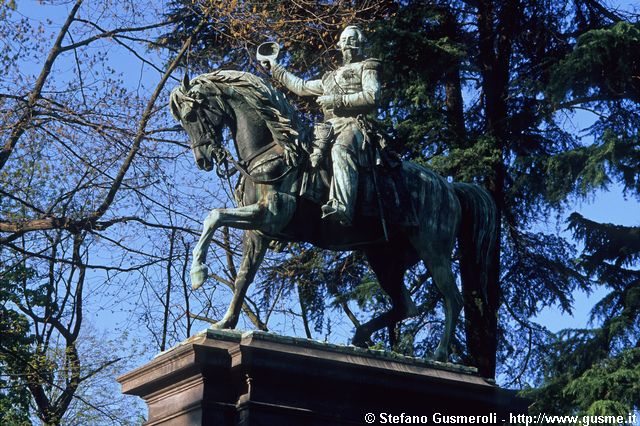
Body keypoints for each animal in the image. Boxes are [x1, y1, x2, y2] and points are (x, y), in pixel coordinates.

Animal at [169, 68, 496, 362]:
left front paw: (198, 273)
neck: (277, 149)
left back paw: (440, 354)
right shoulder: (258, 232)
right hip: (385, 259)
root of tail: (448, 187)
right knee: (407, 306)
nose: (203, 159)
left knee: (452, 298)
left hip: (432, 249)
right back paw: (362, 338)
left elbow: (213, 216)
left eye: (192, 115)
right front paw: (225, 323)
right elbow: (242, 277)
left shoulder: (270, 215)